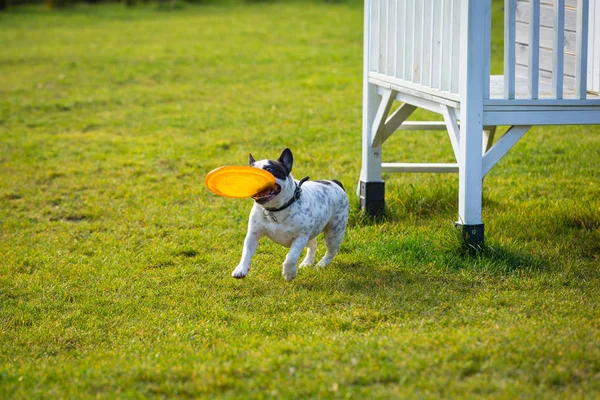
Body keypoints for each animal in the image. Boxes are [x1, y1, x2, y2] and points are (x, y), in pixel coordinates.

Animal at [232, 148, 350, 282]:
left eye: (269, 170)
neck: (276, 209)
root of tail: (334, 183)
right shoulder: (253, 235)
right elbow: (246, 252)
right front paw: (241, 269)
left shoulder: (300, 237)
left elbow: (291, 257)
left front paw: (289, 273)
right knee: (313, 244)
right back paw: (307, 262)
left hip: (334, 232)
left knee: (331, 251)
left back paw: (321, 265)